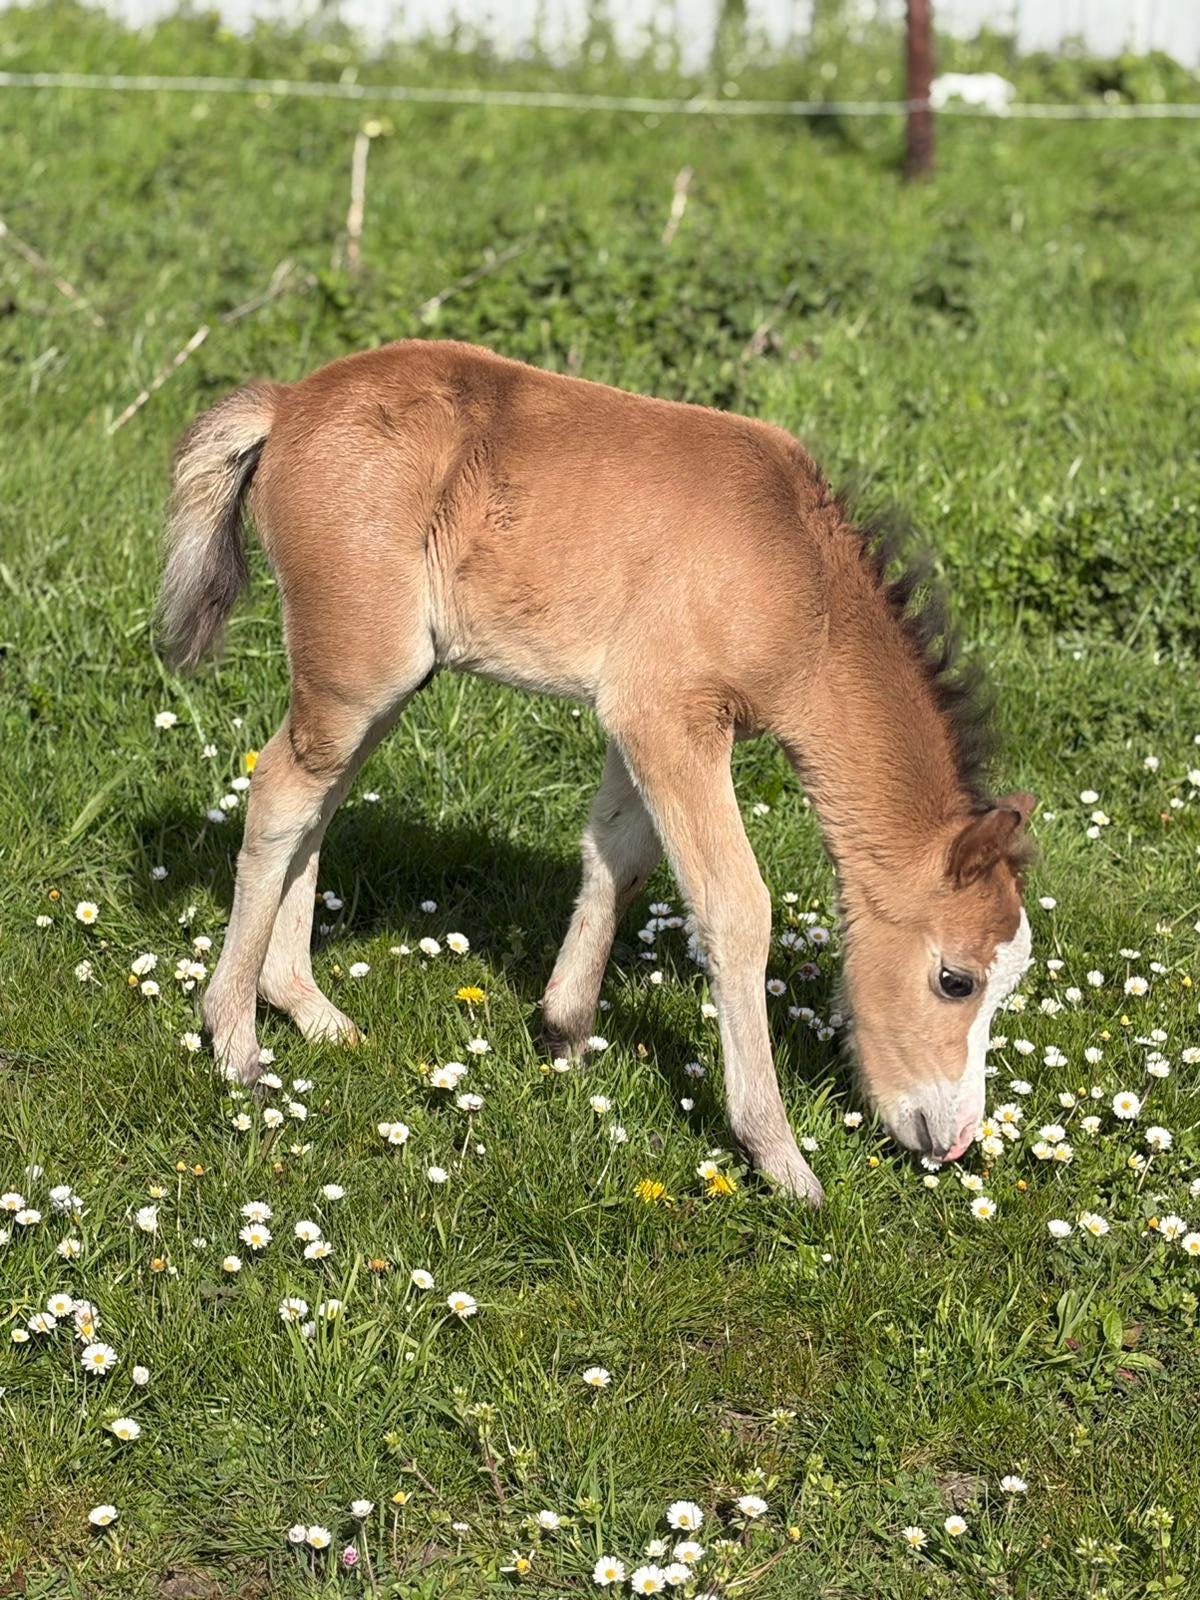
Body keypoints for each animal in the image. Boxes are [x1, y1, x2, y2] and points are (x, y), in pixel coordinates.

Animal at [158, 339, 1034, 1205]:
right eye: (955, 980)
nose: (956, 1140)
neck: (803, 583)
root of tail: (289, 403)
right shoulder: (671, 717)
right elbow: (735, 909)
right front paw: (778, 1155)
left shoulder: (634, 720)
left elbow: (619, 855)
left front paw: (565, 1031)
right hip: (363, 666)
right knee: (280, 791)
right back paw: (235, 1040)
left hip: (376, 684)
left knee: (320, 800)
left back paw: (309, 1011)